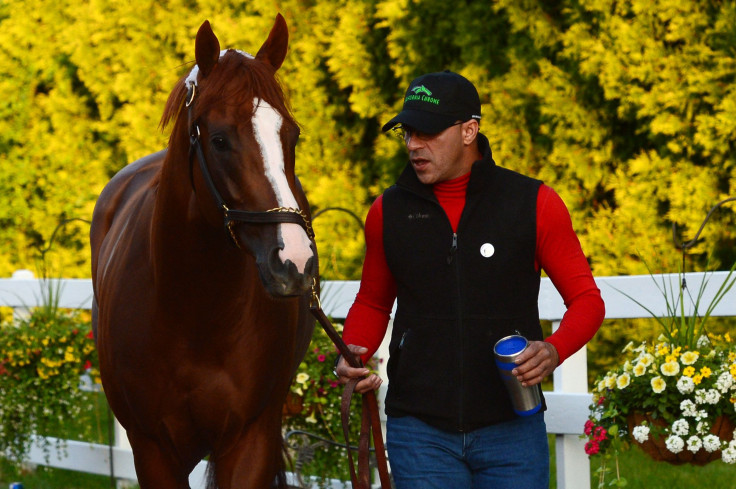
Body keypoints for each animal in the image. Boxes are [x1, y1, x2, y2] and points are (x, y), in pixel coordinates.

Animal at [89, 16, 316, 488]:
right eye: (220, 139)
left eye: (292, 136)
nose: (295, 262)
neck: (192, 313)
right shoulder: (153, 449)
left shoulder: (250, 440)